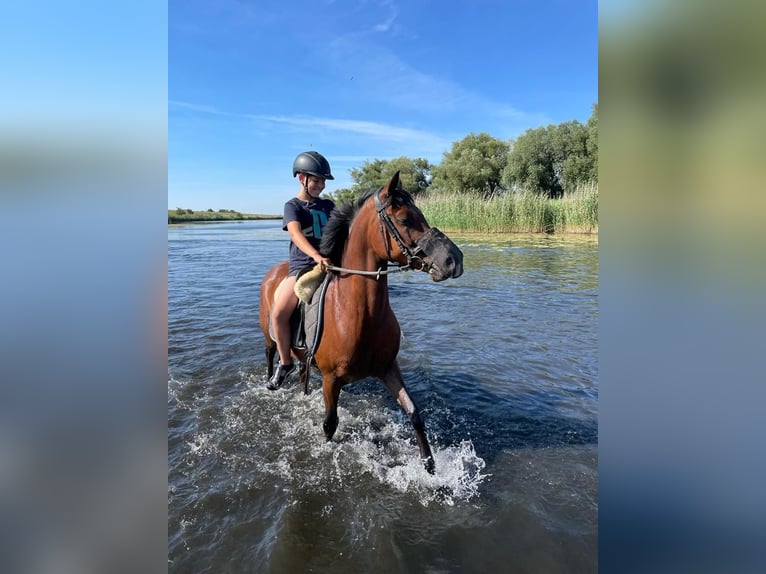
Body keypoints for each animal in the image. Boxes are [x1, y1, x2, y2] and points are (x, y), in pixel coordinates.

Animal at [258, 172, 464, 476]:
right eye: (405, 219)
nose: (454, 260)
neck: (357, 314)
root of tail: (275, 271)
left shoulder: (388, 368)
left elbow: (414, 413)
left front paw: (429, 466)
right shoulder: (331, 380)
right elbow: (329, 424)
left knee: (302, 373)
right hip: (271, 336)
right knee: (273, 356)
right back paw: (273, 379)